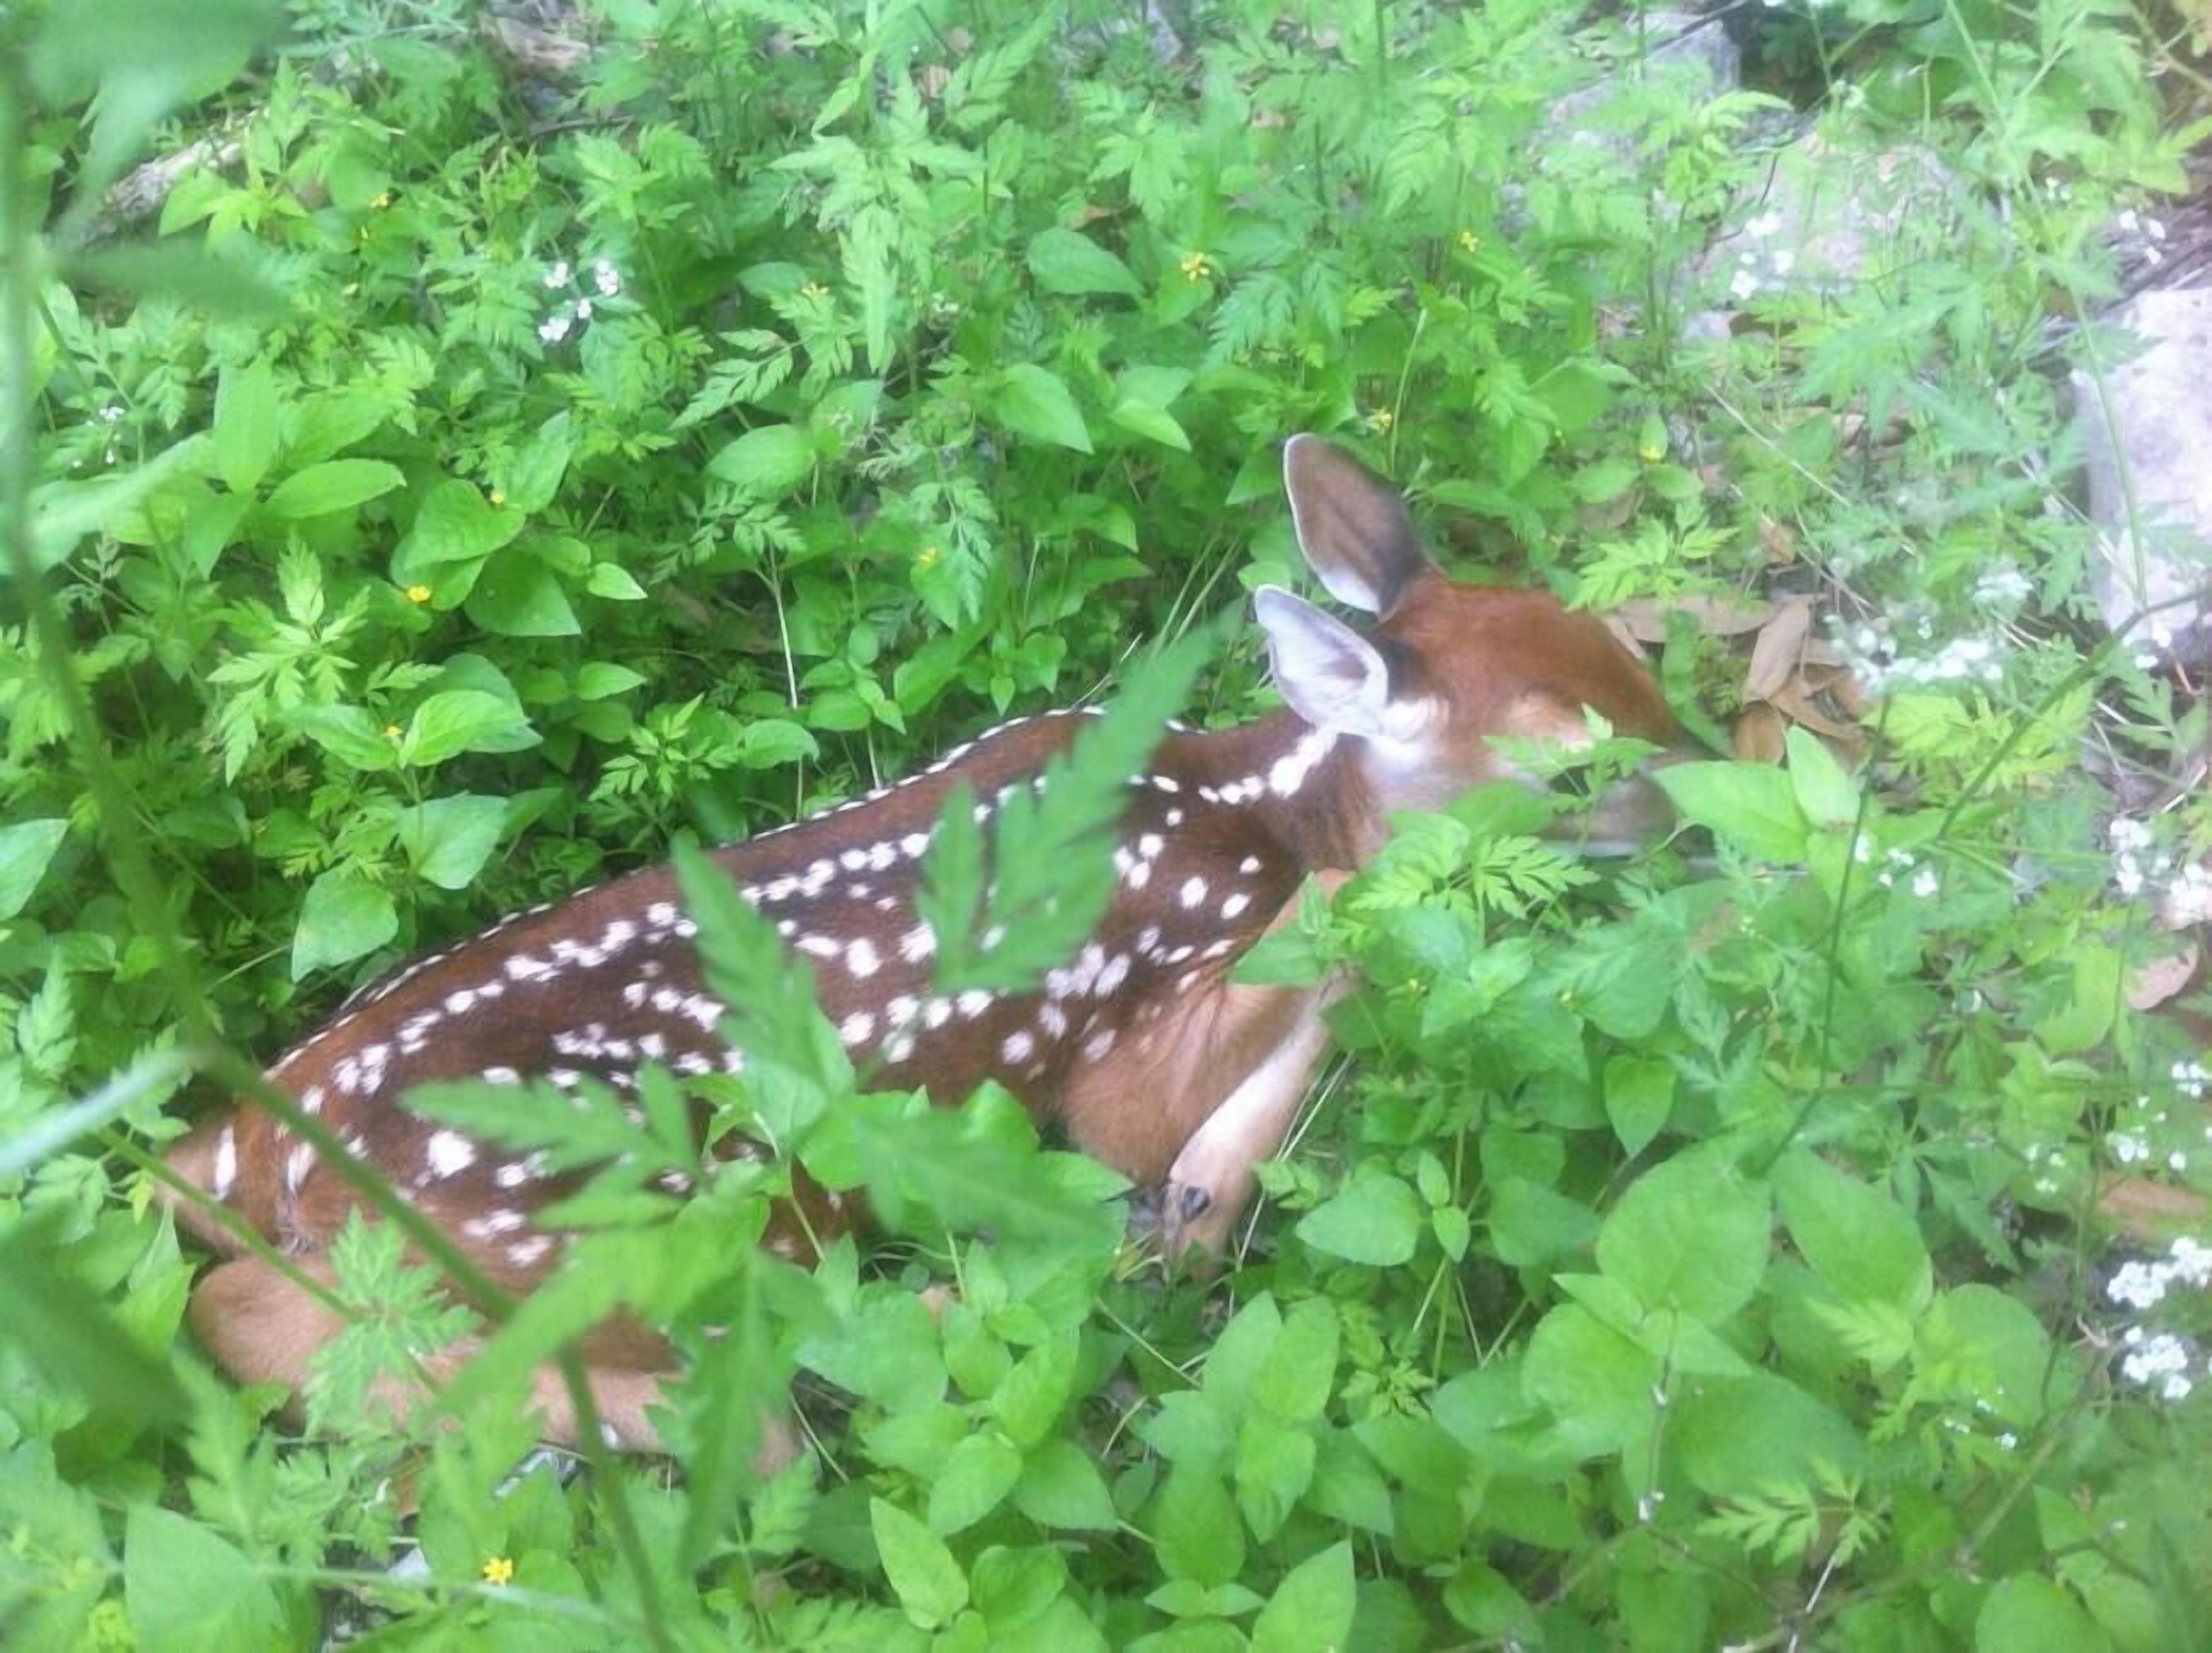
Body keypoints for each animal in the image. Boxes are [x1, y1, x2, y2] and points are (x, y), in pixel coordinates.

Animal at [159, 434, 1688, 1453]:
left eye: (1634, 657)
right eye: (1574, 767)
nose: (1708, 798)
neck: (1251, 806)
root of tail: (263, 1143)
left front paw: (1206, 1198)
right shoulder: (1129, 1028)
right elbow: (1317, 965)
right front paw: (1191, 1199)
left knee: (238, 1308)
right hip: (605, 1225)